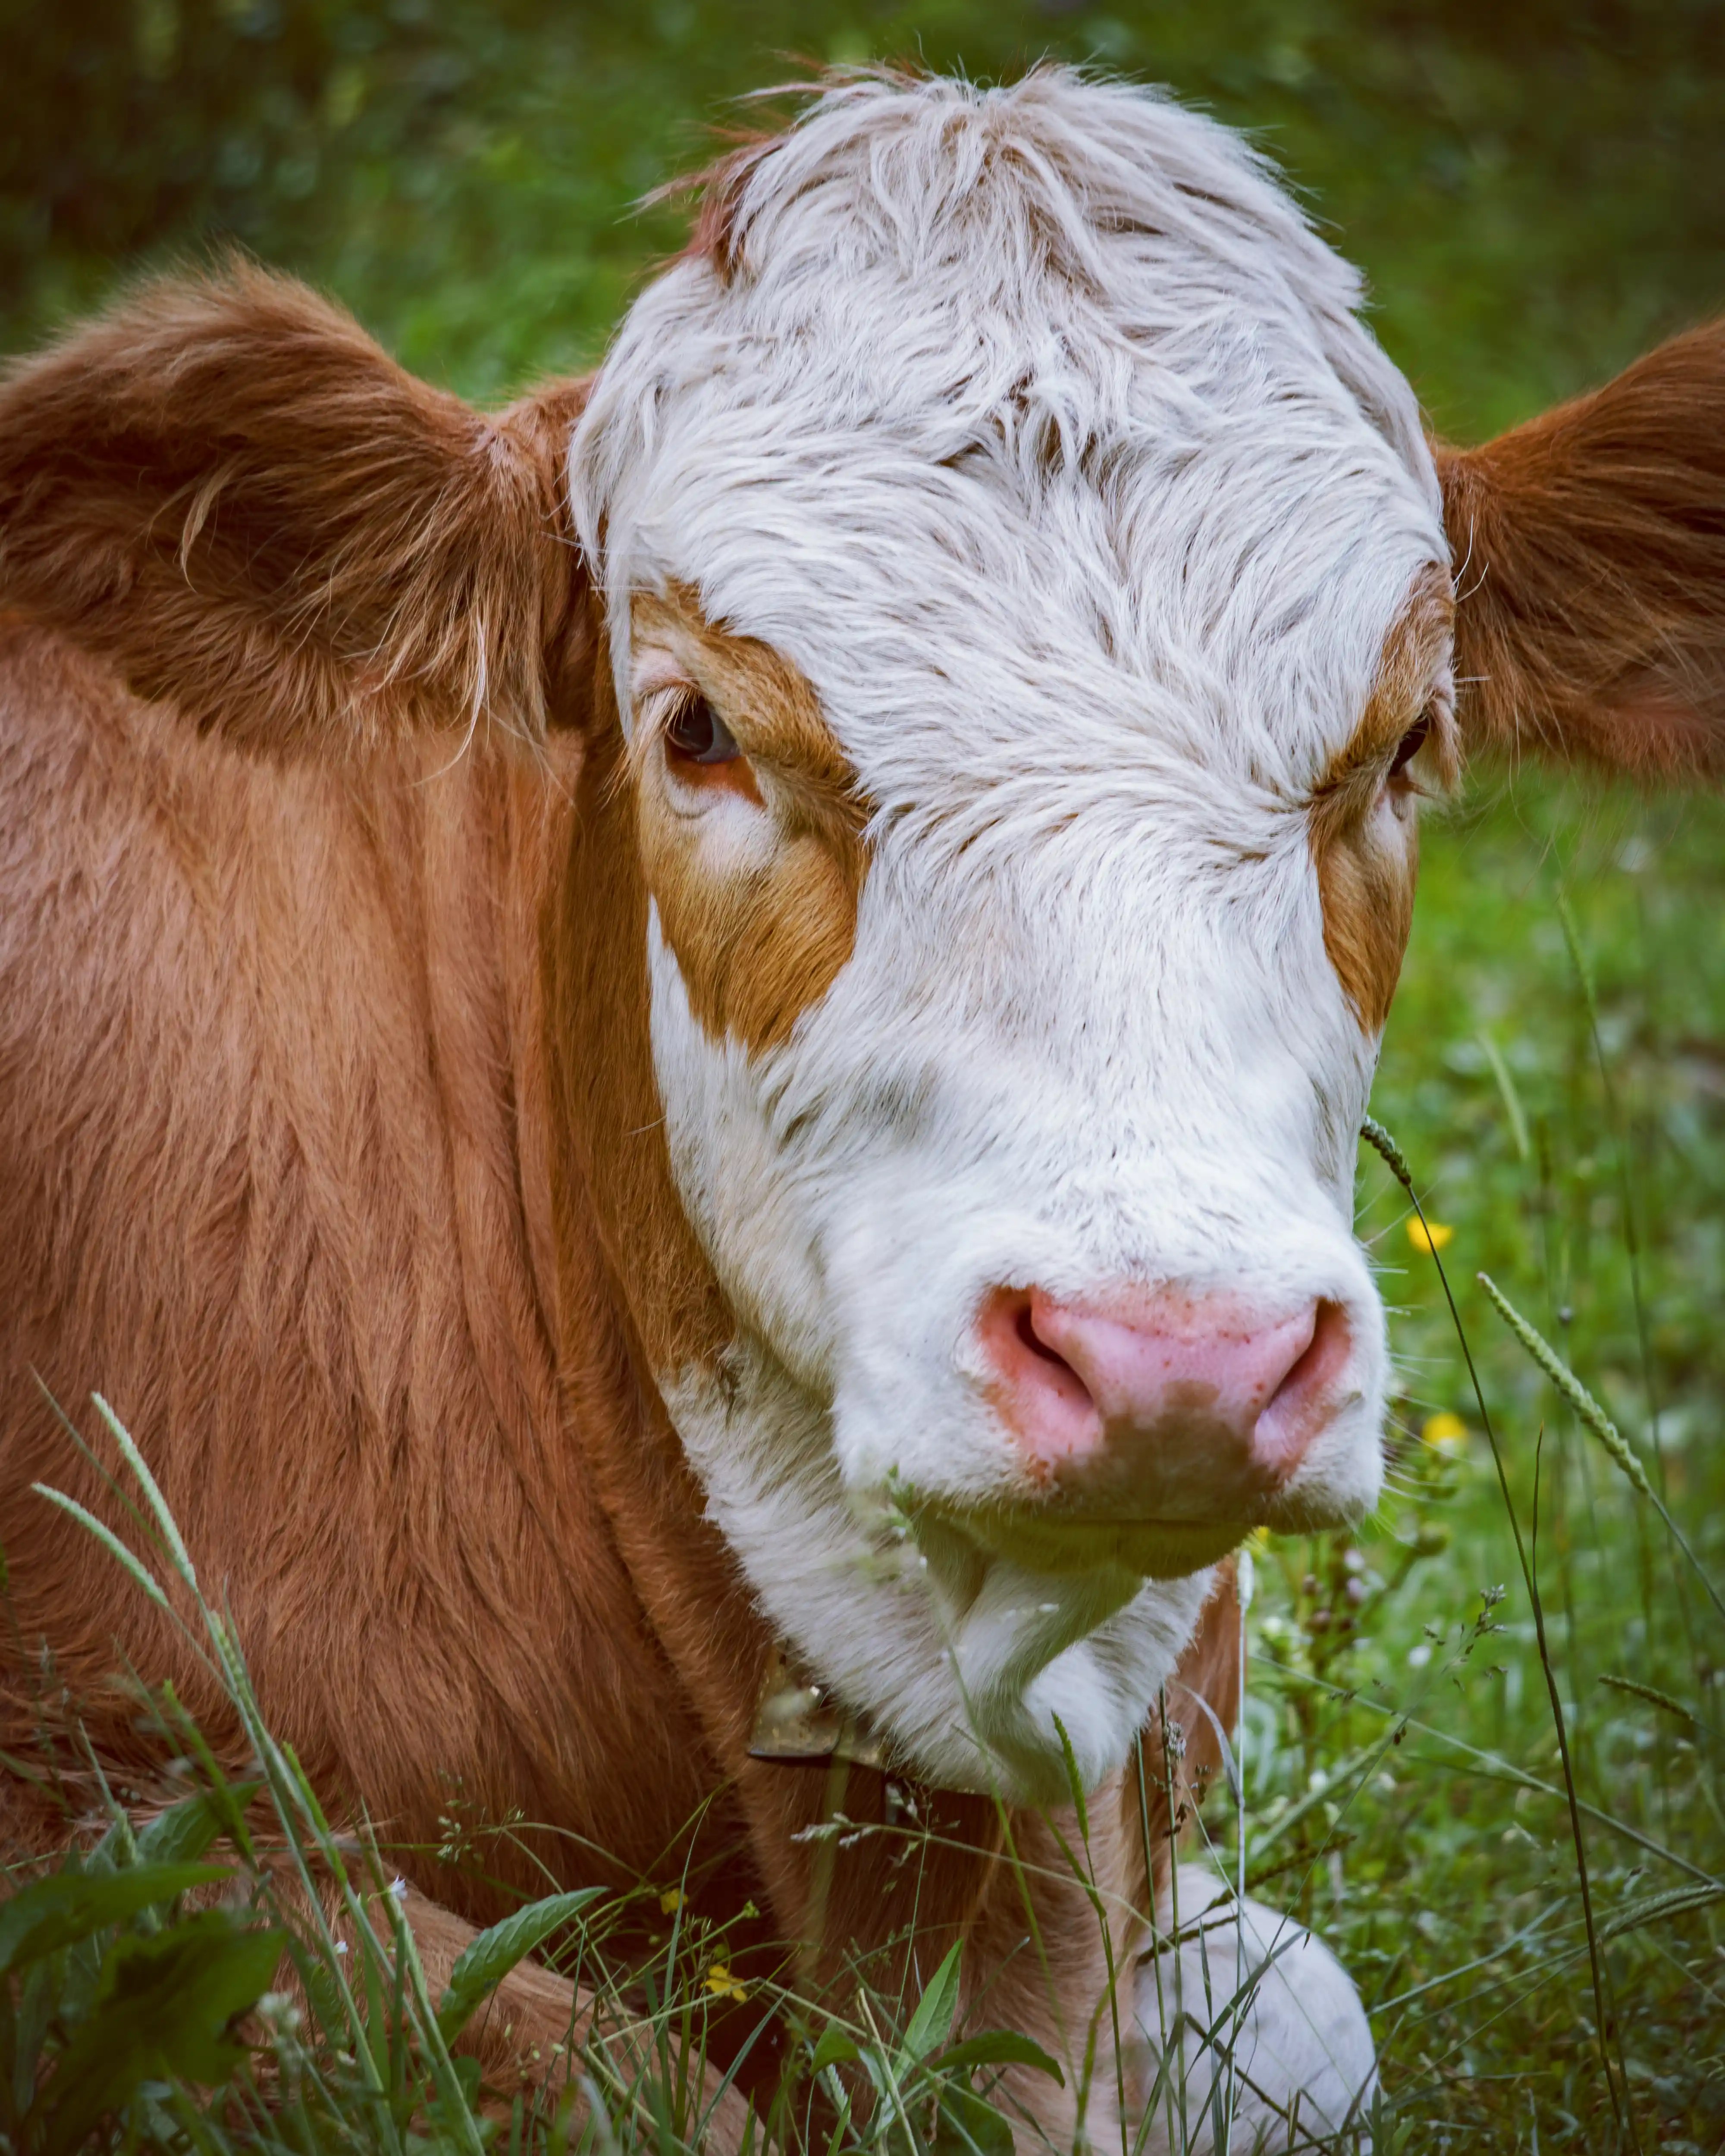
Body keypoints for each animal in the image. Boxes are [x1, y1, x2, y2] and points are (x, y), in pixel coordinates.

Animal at [0, 63, 1719, 2152]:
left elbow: (1317, 2026)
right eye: (695, 729)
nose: (1173, 1361)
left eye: (1402, 743)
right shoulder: (116, 1837)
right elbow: (594, 2077)